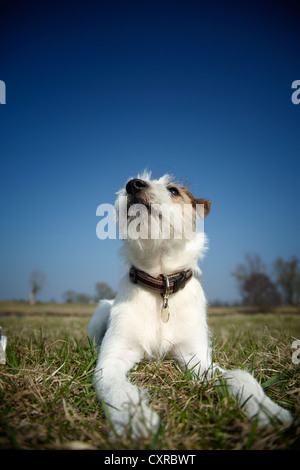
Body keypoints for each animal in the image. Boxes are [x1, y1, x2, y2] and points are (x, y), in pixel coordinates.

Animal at [88, 171, 292, 438]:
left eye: (173, 190)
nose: (133, 184)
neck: (161, 285)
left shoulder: (196, 359)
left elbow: (239, 375)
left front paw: (266, 409)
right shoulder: (113, 358)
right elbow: (117, 387)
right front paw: (133, 420)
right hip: (101, 311)